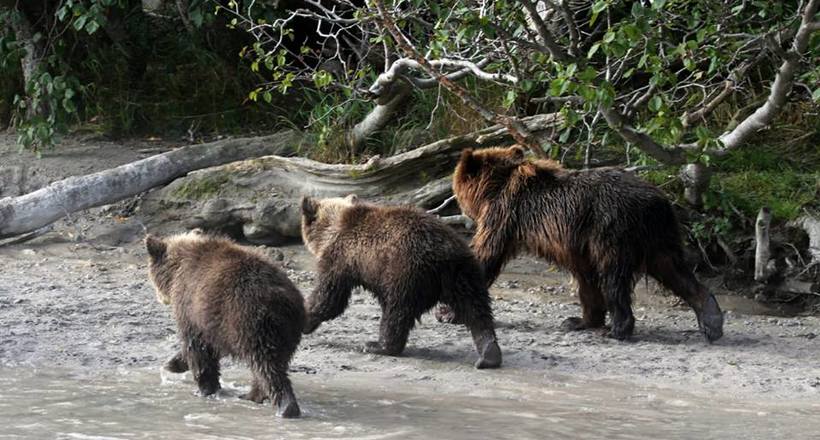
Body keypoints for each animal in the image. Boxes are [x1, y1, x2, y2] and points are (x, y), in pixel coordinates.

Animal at [147, 232, 304, 418]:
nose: (159, 298)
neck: (176, 271)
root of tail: (283, 299)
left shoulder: (191, 306)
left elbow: (197, 348)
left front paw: (203, 389)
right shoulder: (215, 324)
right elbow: (207, 347)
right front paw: (173, 364)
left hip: (250, 321)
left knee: (267, 366)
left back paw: (285, 407)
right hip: (286, 330)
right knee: (272, 364)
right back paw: (251, 395)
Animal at [302, 194, 502, 370]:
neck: (331, 229)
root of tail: (445, 255)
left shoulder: (342, 257)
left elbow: (329, 297)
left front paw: (306, 321)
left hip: (406, 271)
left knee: (396, 310)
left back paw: (377, 345)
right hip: (465, 273)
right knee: (477, 311)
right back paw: (489, 354)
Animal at [448, 146, 724, 342]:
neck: (493, 188)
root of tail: (659, 201)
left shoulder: (504, 215)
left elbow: (487, 254)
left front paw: (450, 313)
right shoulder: (577, 245)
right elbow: (586, 281)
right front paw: (581, 320)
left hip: (614, 230)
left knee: (614, 278)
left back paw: (618, 329)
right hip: (659, 237)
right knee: (674, 270)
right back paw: (711, 319)